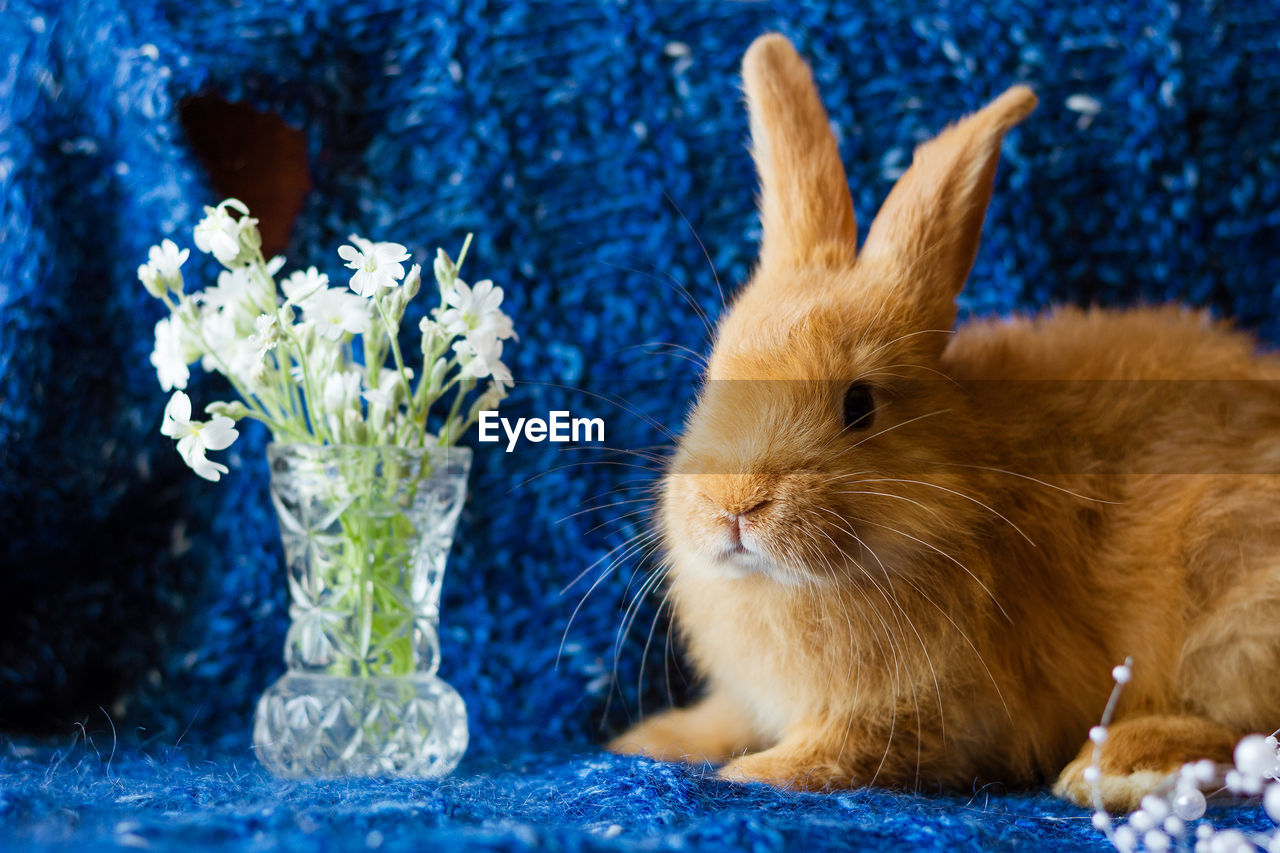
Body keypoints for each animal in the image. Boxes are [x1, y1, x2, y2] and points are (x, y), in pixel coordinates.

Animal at [604, 31, 1280, 809]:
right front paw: (651, 741)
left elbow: (847, 750)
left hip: (1231, 618)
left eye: (859, 404)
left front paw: (755, 772)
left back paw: (1118, 764)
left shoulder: (929, 710)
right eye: (711, 379)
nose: (734, 505)